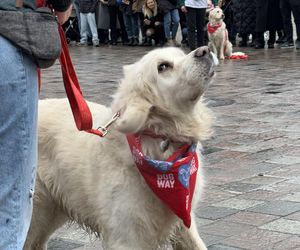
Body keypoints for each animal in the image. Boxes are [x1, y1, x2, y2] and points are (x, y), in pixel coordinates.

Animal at [24, 46, 217, 249]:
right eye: (163, 66)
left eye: (181, 54)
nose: (205, 50)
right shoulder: (125, 235)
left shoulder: (182, 222)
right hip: (36, 209)